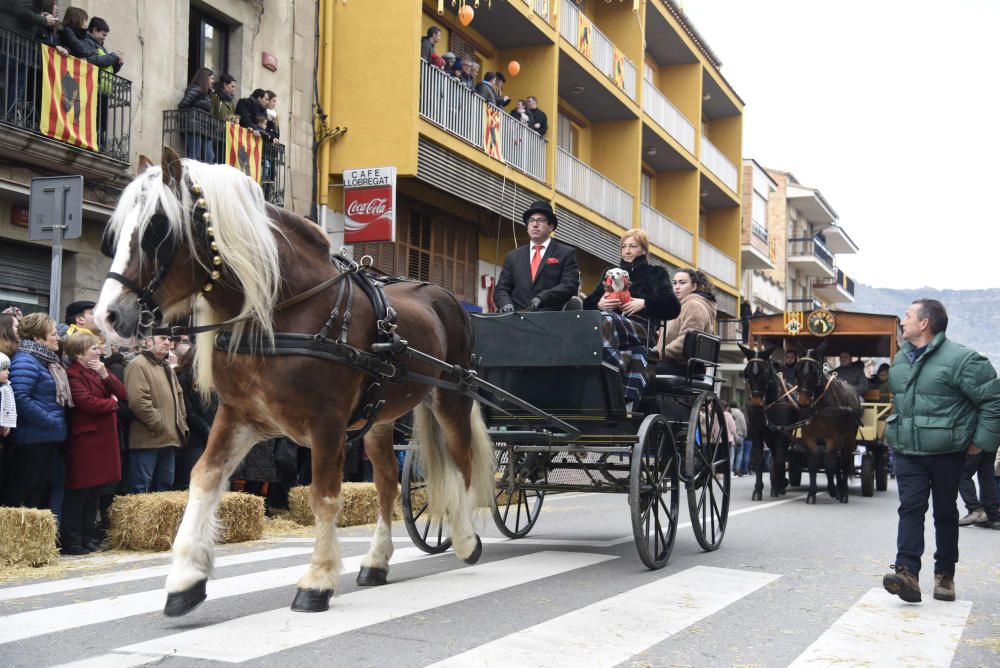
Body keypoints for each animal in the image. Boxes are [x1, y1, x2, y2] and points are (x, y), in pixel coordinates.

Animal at [95, 150, 494, 616]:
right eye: (115, 234)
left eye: (157, 229)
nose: (108, 316)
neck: (284, 309)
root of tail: (445, 296)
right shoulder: (239, 417)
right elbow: (203, 478)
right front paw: (185, 578)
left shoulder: (327, 424)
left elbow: (324, 495)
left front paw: (317, 580)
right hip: (378, 420)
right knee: (387, 484)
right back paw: (377, 560)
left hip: (451, 398)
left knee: (463, 462)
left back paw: (466, 540)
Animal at [792, 342, 864, 504]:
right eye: (797, 371)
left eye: (815, 372)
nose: (803, 403)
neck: (820, 407)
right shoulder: (810, 438)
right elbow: (814, 464)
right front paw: (812, 494)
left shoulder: (832, 438)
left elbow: (829, 464)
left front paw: (833, 490)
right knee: (837, 462)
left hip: (848, 438)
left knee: (844, 462)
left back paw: (843, 492)